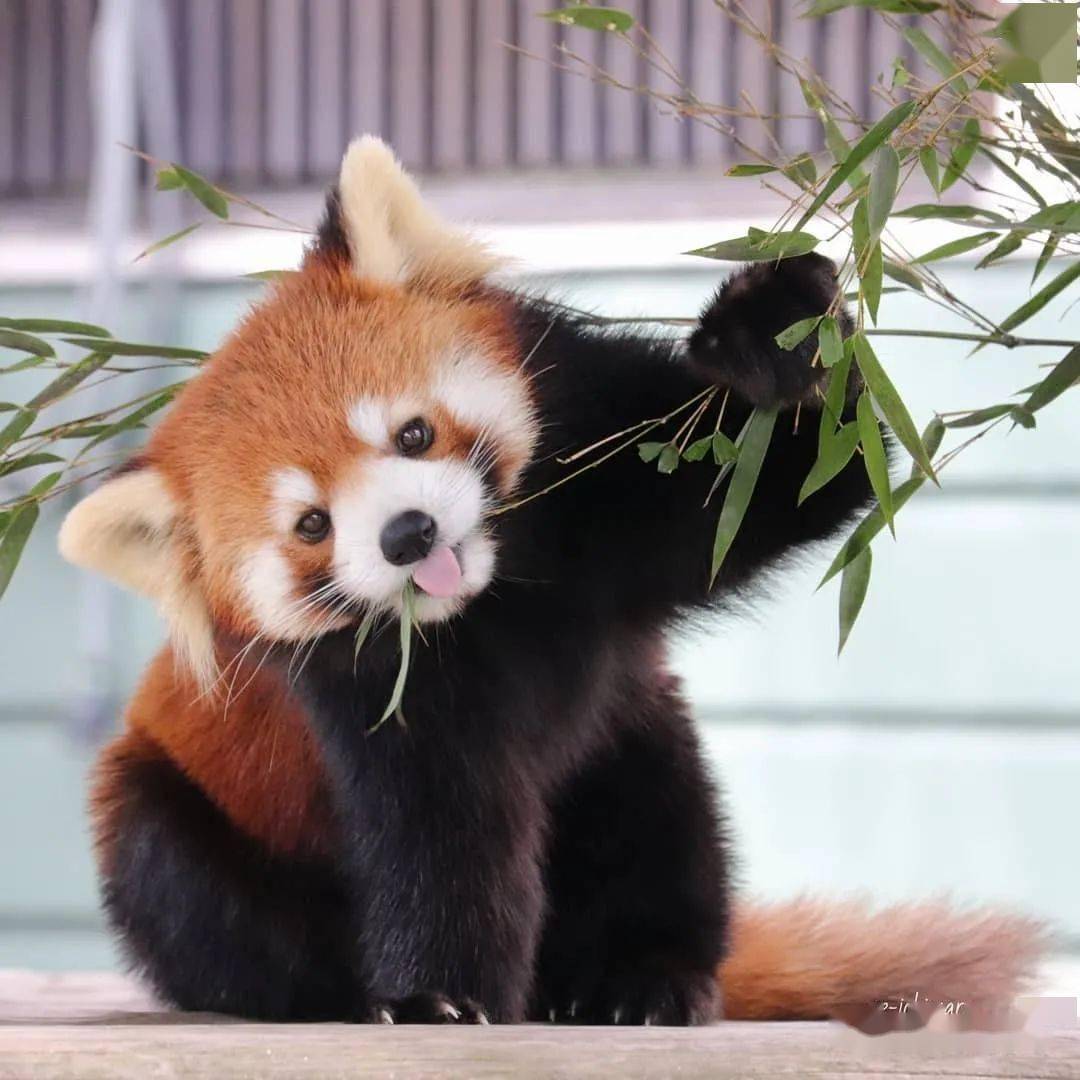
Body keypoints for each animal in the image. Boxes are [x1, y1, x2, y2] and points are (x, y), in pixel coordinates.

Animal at [59, 139, 1036, 1023]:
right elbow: (441, 839)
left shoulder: (602, 483)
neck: (495, 597)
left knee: (661, 820)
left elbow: (793, 476)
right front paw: (437, 998)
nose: (408, 534)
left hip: (630, 731)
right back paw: (335, 994)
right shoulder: (375, 696)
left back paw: (642, 978)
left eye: (413, 435)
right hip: (170, 800)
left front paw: (777, 336)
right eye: (312, 525)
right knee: (182, 882)